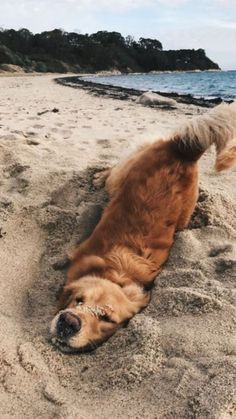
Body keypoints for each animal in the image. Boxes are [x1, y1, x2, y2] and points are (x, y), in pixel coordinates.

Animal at [49, 103, 236, 352]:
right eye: (78, 300)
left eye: (107, 318)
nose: (68, 321)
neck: (117, 275)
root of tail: (183, 149)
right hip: (124, 175)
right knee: (114, 171)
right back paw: (99, 177)